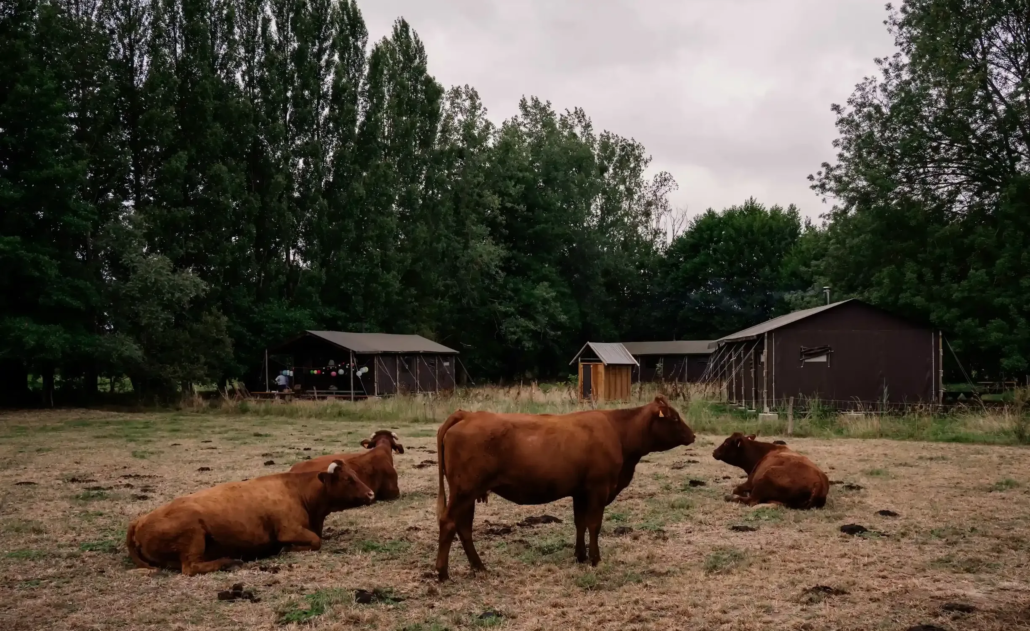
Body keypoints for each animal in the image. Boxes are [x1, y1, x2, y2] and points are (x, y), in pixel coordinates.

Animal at [125, 461, 374, 575]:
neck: (298, 491)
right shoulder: (289, 530)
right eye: (348, 480)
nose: (371, 493)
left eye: (354, 475)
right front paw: (286, 549)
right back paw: (229, 561)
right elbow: (315, 541)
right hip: (193, 535)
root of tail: (139, 521)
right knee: (191, 567)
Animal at [434, 395, 696, 581]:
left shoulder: (580, 491)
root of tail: (467, 414)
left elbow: (580, 523)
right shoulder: (598, 488)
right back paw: (442, 573)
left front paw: (580, 555)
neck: (617, 431)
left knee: (464, 528)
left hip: (467, 493)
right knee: (448, 523)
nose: (693, 435)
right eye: (674, 418)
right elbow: (594, 524)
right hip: (464, 491)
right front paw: (595, 558)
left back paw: (479, 567)